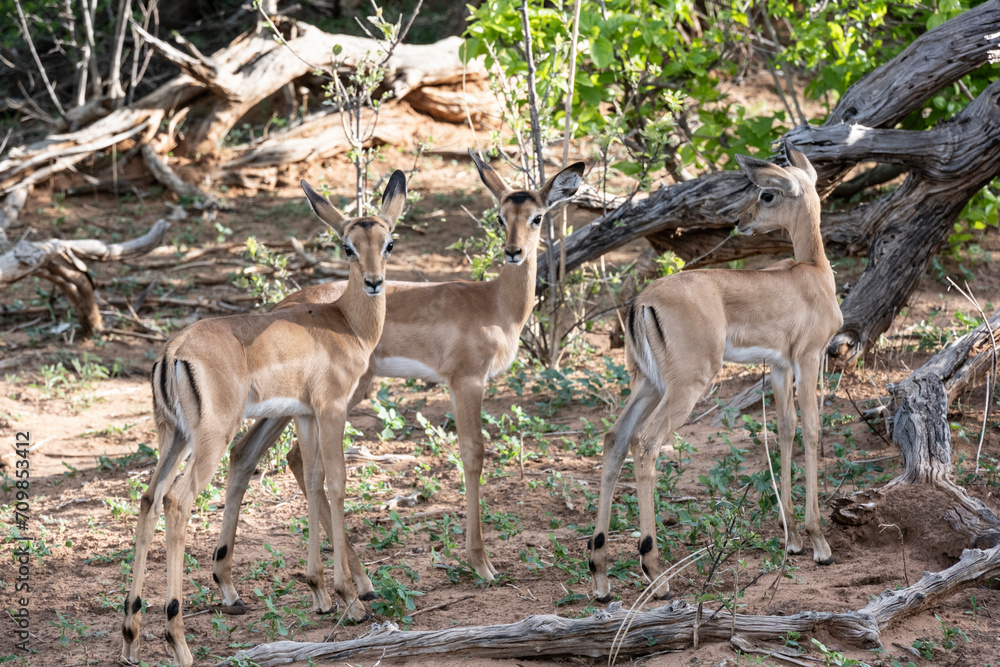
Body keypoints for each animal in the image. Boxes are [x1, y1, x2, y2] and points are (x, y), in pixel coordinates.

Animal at [120, 170, 406, 664]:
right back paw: (178, 640)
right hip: (211, 439)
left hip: (174, 438)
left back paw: (132, 636)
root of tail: (173, 352)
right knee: (178, 500)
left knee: (149, 498)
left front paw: (321, 593)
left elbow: (311, 479)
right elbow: (336, 483)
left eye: (387, 242)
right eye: (347, 246)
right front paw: (349, 598)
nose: (373, 282)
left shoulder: (306, 415)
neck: (344, 323)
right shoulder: (332, 410)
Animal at [211, 151, 584, 604]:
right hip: (337, 396)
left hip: (298, 402)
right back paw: (354, 584)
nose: (513, 252)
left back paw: (238, 587)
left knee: (250, 454)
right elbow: (473, 455)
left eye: (536, 216)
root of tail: (283, 306)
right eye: (500, 216)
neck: (494, 305)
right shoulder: (466, 382)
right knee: (292, 459)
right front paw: (482, 563)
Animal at [584, 145, 844, 600]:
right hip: (687, 387)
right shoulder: (808, 358)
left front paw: (793, 538)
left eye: (767, 194)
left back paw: (600, 575)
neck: (812, 275)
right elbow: (813, 428)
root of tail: (642, 301)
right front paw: (818, 542)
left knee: (615, 438)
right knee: (645, 443)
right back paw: (657, 574)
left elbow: (786, 429)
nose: (740, 221)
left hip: (649, 385)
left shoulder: (780, 365)